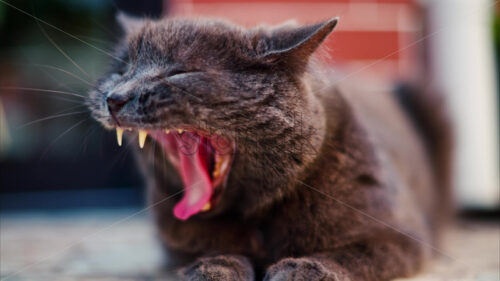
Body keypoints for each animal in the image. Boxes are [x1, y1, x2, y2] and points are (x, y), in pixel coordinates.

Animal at [87, 14, 454, 280]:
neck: (259, 216)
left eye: (179, 72)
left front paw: (303, 268)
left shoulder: (401, 236)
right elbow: (210, 251)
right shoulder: (175, 243)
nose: (115, 97)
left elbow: (356, 253)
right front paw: (215, 267)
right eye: (122, 70)